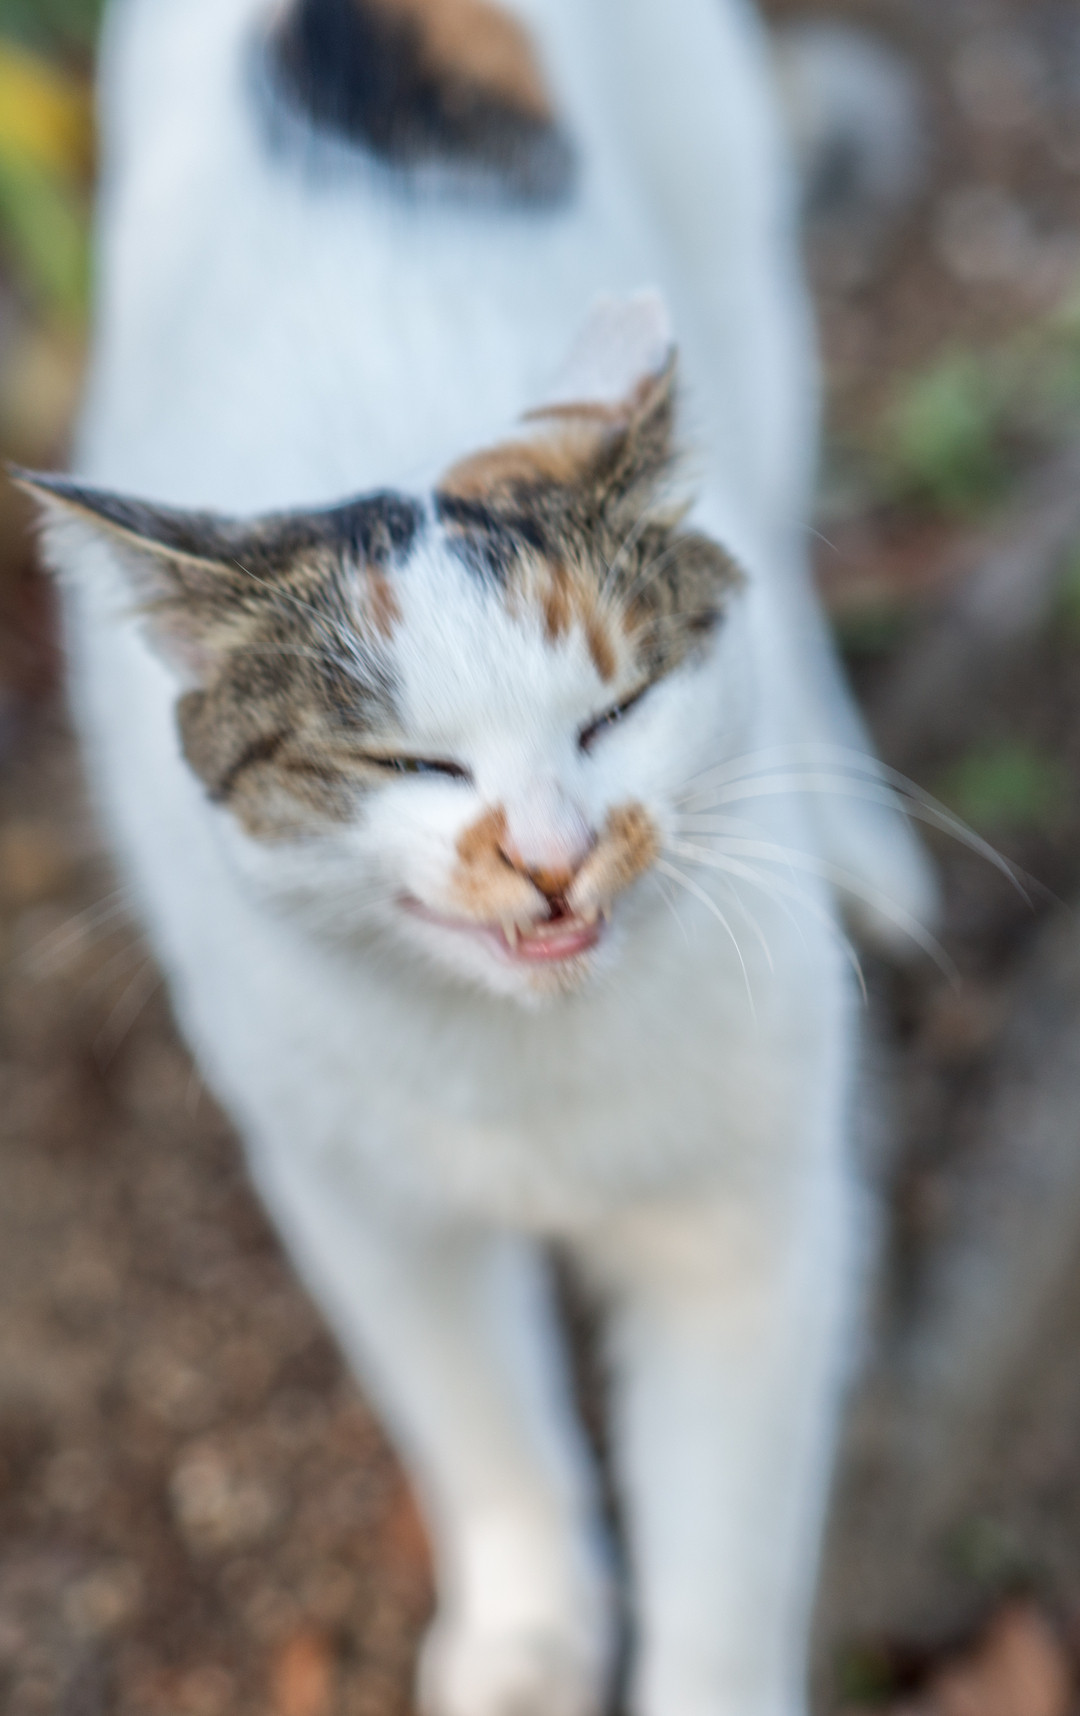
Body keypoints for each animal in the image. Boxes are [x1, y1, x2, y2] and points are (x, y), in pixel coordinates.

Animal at [16, 1, 937, 1713]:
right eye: (409, 766)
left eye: (616, 713)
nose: (555, 859)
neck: (529, 1078)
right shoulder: (359, 1197)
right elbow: (479, 1431)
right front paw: (524, 1637)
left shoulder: (749, 1227)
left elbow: (722, 1552)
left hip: (736, 268)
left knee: (776, 522)